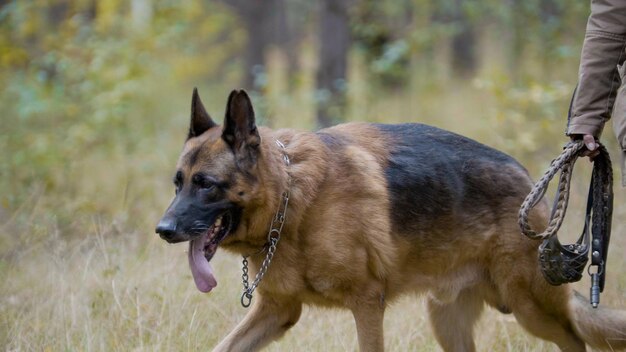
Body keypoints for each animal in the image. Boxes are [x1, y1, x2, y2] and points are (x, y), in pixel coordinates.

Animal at [157, 88, 624, 352]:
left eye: (206, 184)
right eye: (177, 183)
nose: (162, 231)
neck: (293, 199)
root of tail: (527, 179)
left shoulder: (367, 305)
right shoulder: (277, 311)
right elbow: (222, 347)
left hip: (532, 309)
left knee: (575, 340)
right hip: (447, 321)